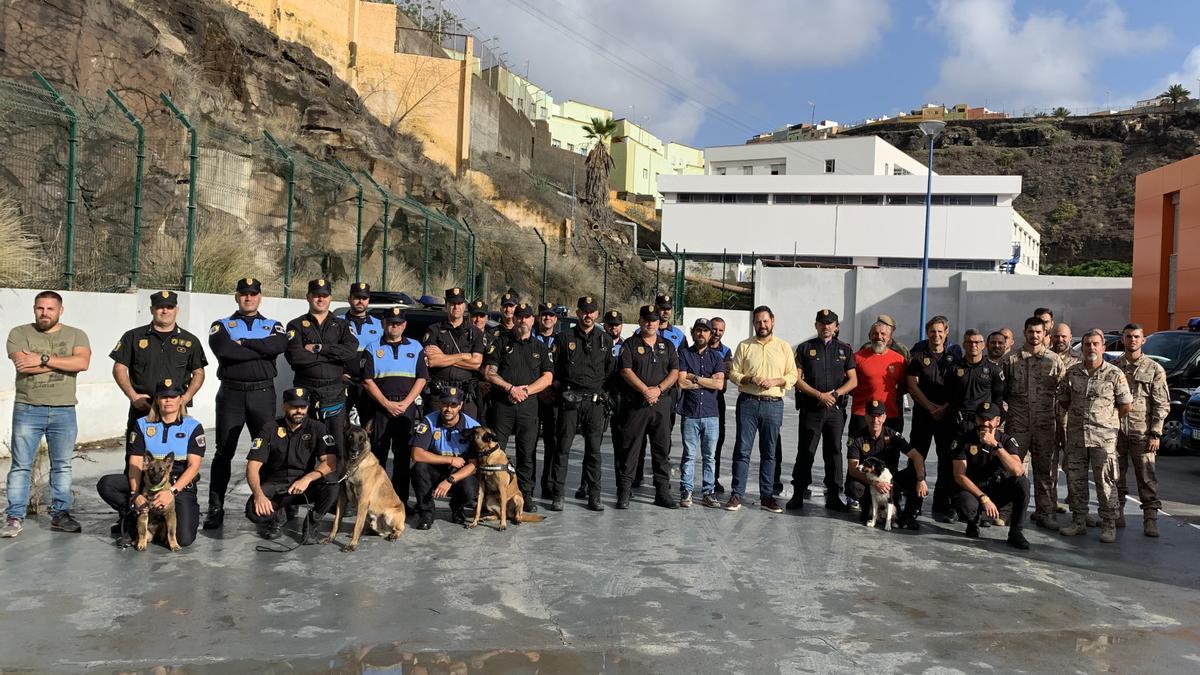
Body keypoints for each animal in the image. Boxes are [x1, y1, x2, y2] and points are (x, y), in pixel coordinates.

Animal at [324, 422, 408, 550]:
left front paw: (352, 545)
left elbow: (357, 525)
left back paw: (393, 535)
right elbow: (336, 521)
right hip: (369, 515)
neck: (353, 467)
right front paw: (330, 538)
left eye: (361, 438)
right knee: (369, 528)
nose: (354, 450)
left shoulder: (362, 501)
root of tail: (384, 531)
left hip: (388, 515)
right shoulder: (342, 499)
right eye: (350, 436)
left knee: (400, 529)